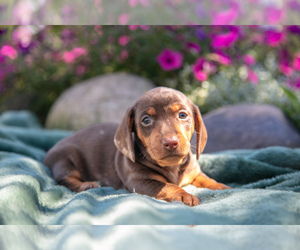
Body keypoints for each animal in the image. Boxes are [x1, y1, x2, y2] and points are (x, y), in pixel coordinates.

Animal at [43, 87, 230, 206]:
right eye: (146, 120)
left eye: (183, 115)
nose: (171, 142)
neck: (172, 167)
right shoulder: (140, 182)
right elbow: (168, 186)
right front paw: (184, 195)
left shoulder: (194, 172)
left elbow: (207, 179)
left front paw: (224, 187)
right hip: (67, 158)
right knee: (65, 179)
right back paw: (86, 185)